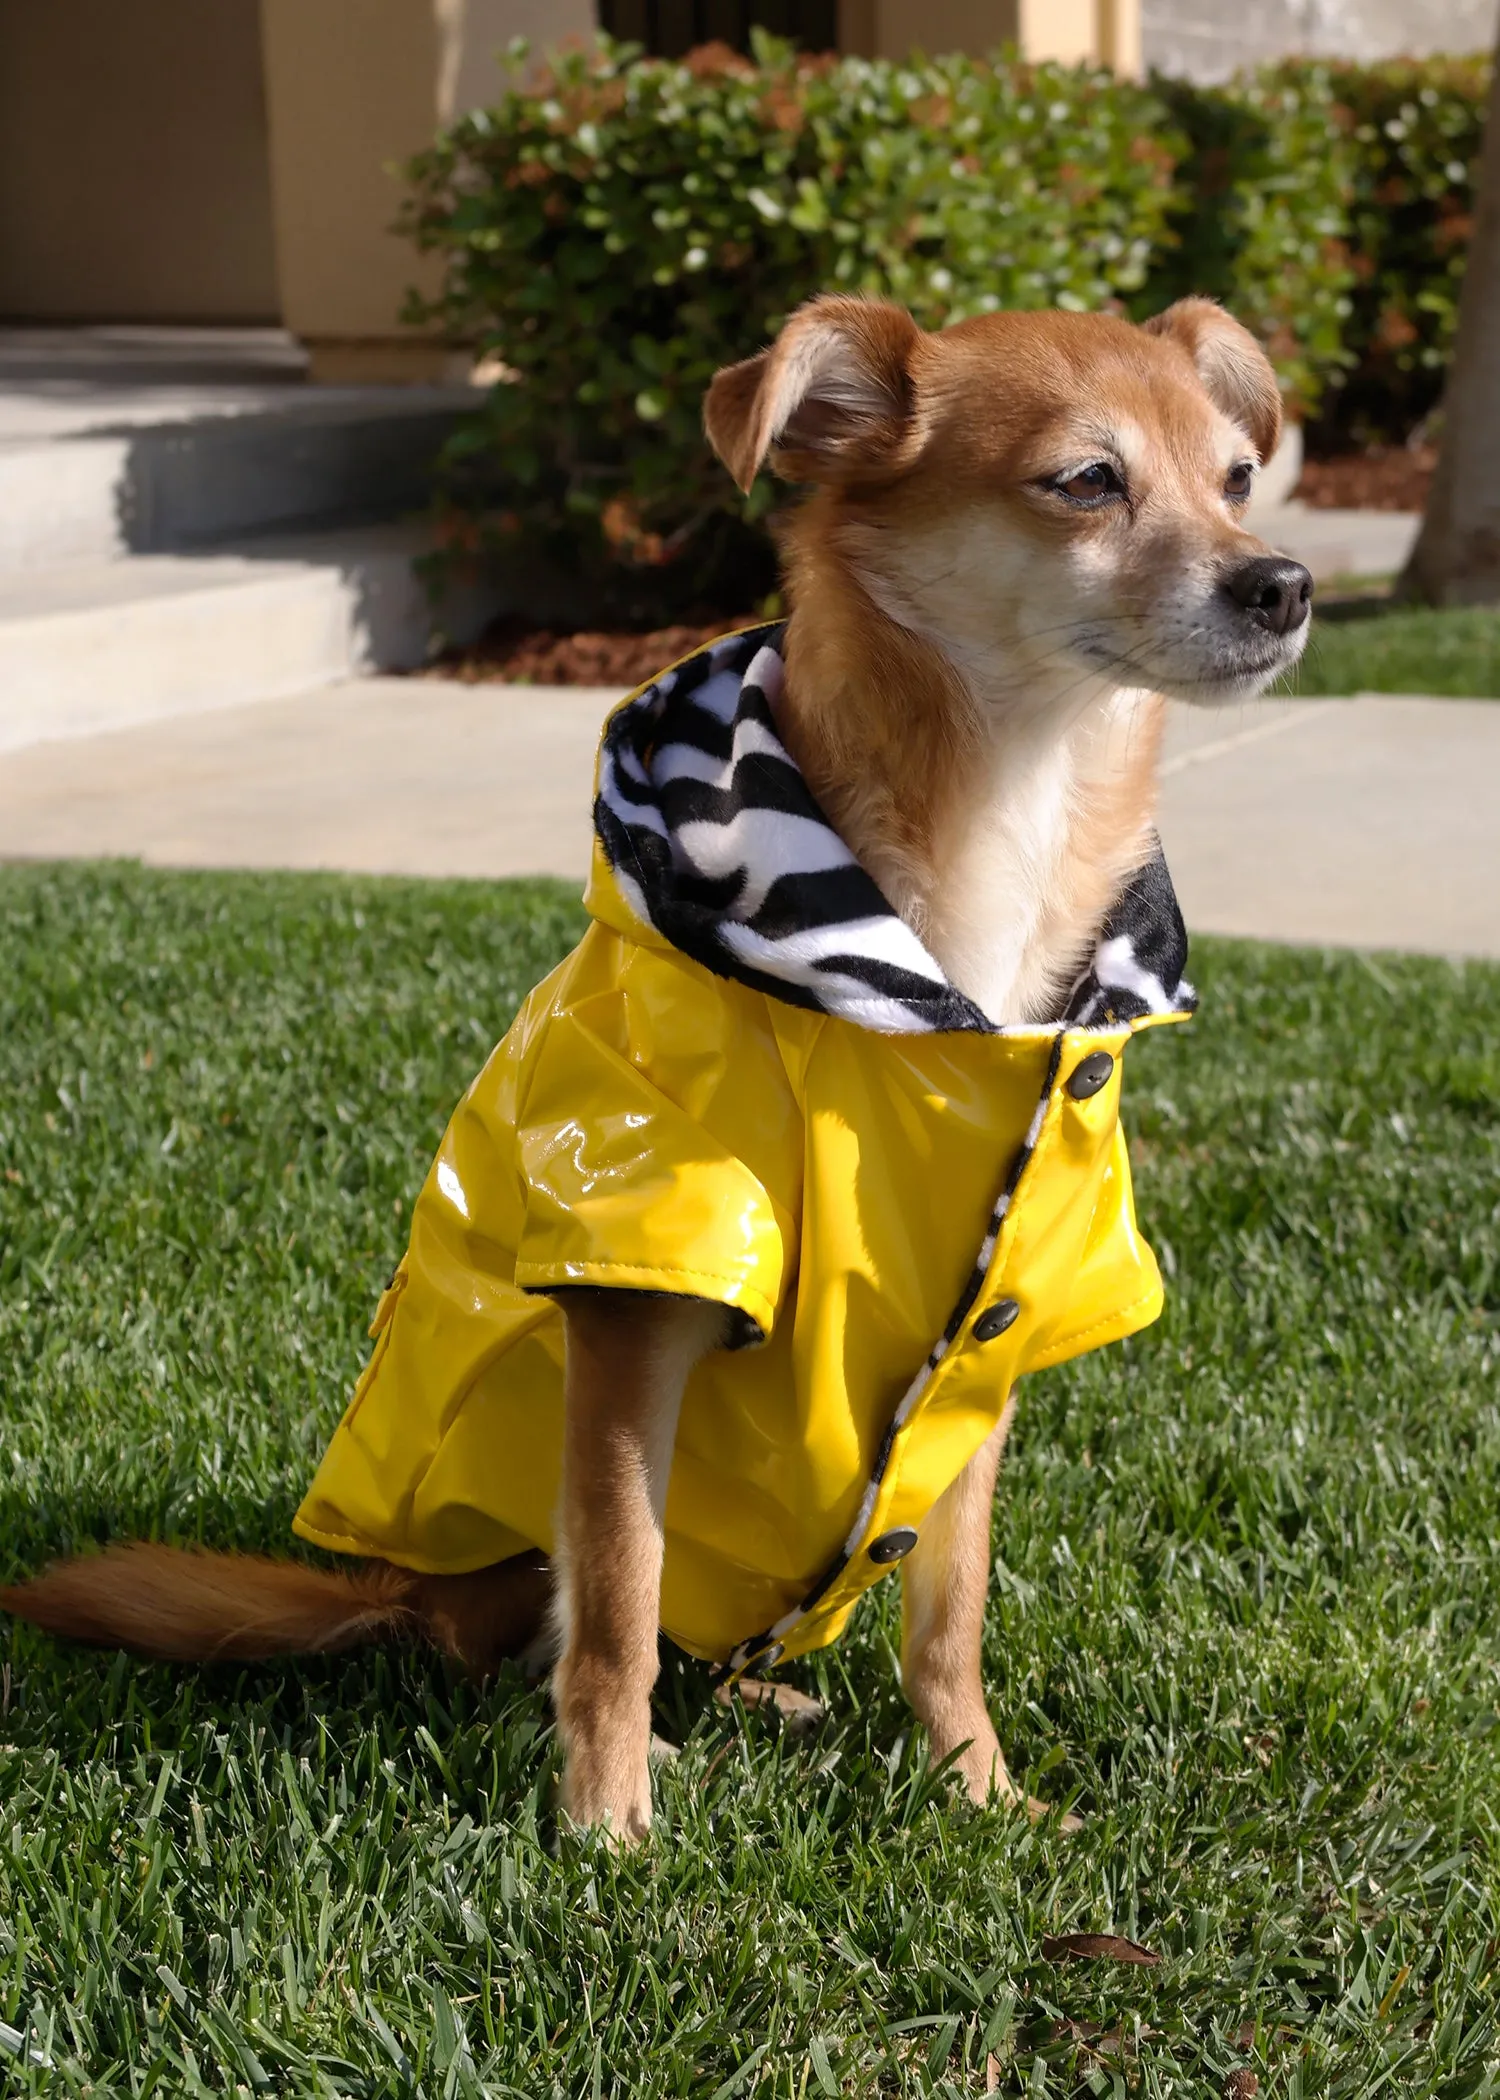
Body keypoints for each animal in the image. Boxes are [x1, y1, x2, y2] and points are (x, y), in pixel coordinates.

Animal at [0, 296, 1310, 1839]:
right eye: (1088, 481)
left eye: (1238, 479)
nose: (1284, 584)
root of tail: (389, 1592)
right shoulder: (643, 1307)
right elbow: (620, 1600)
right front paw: (605, 1823)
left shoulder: (987, 1330)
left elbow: (949, 1610)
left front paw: (979, 1792)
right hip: (506, 1538)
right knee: (538, 1640)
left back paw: (769, 1699)